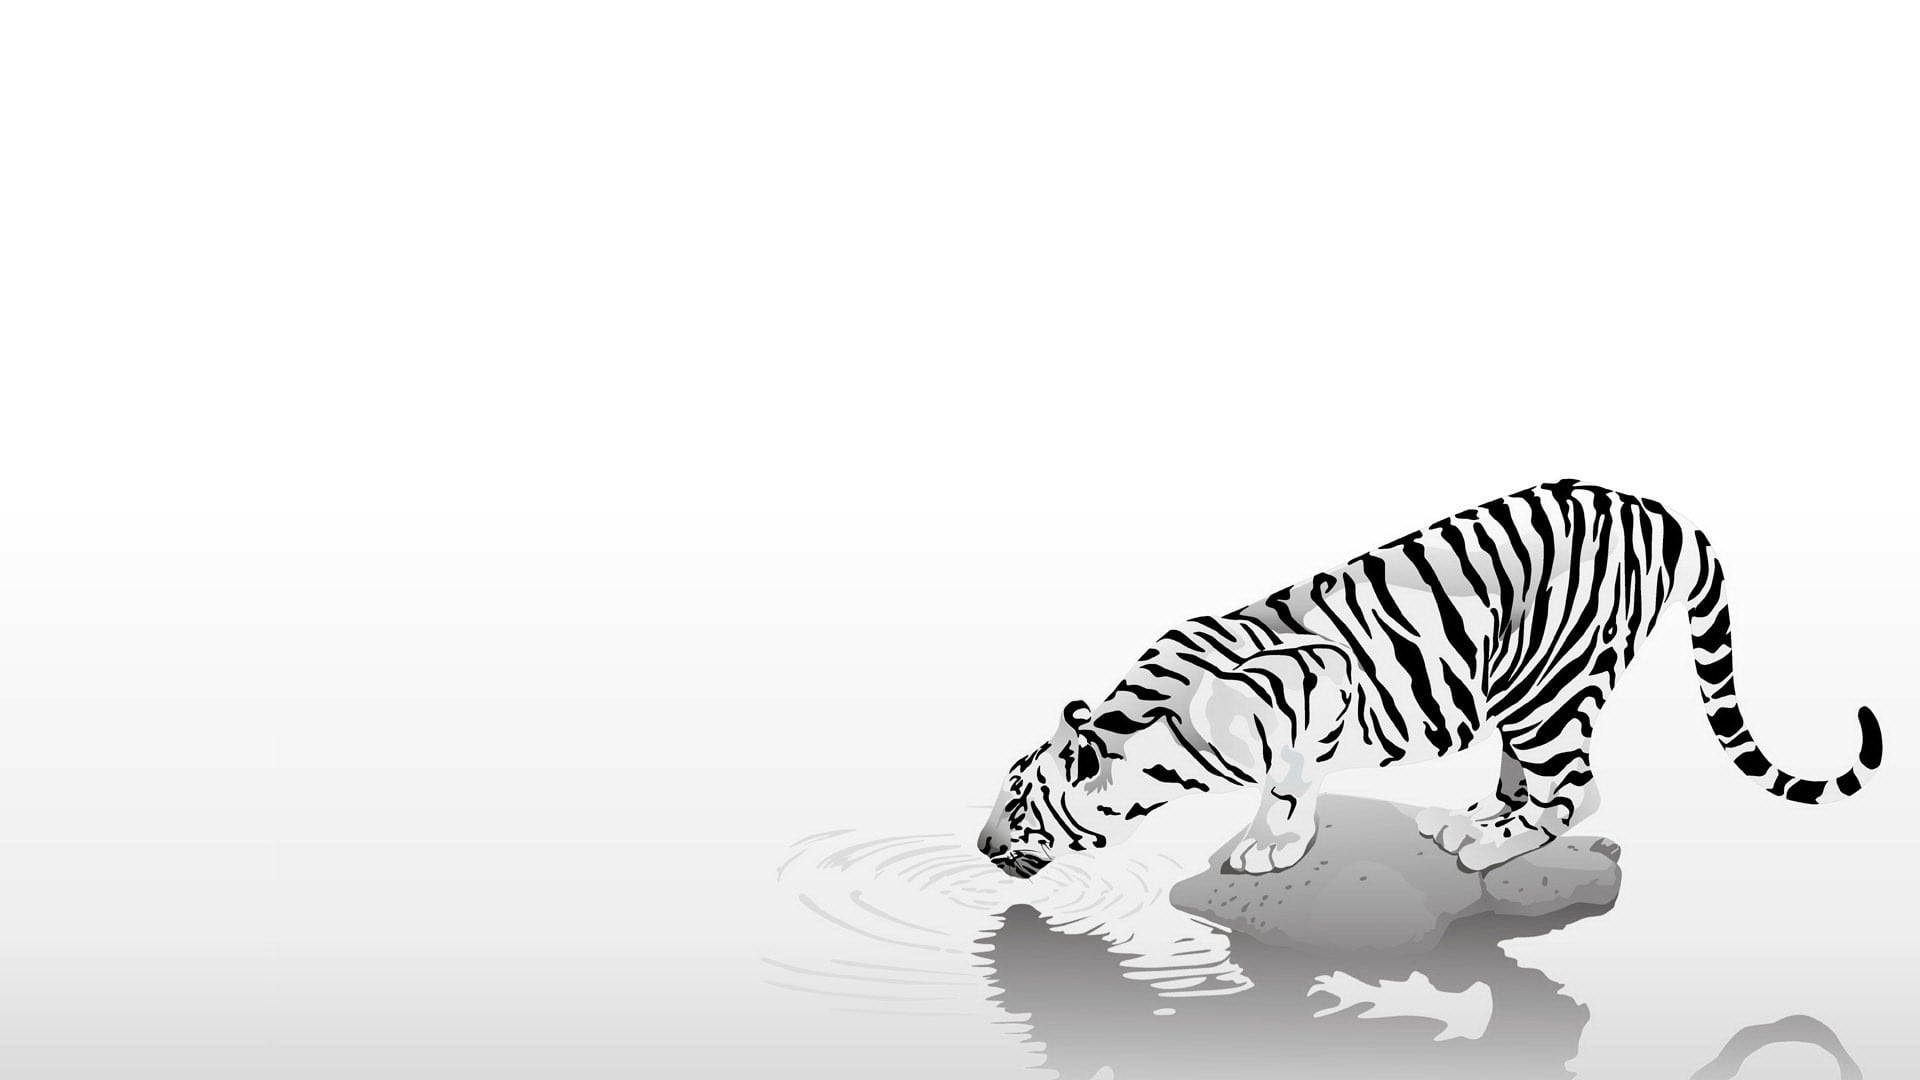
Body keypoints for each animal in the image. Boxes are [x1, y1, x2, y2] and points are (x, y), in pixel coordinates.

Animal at [976, 479, 1882, 879]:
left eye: (1019, 805)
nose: (981, 846)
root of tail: (1653, 507)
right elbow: (1287, 782)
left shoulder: (1319, 681)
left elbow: (1290, 783)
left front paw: (1274, 846)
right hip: (1523, 687)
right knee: (1532, 775)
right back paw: (1474, 814)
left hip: (1550, 689)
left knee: (1577, 791)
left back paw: (1489, 844)